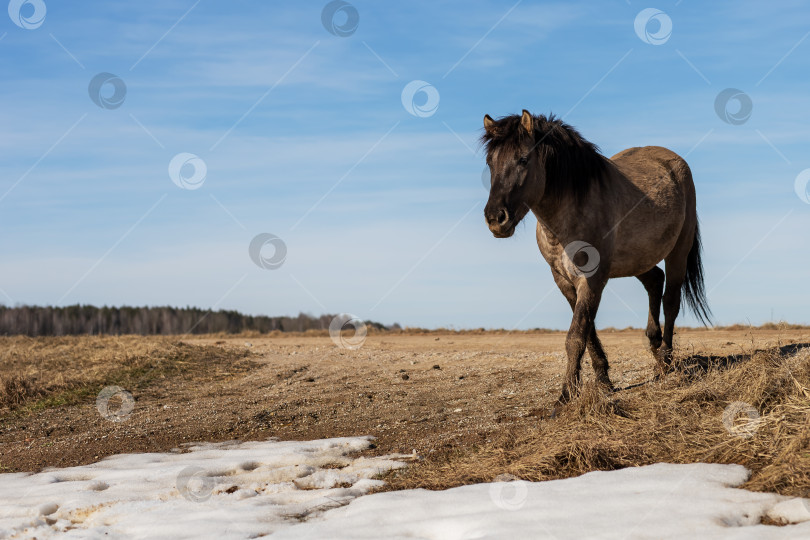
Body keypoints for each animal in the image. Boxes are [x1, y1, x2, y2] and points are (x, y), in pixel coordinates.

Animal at [481, 110, 711, 411]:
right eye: (490, 162)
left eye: (523, 159)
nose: (495, 219)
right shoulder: (563, 279)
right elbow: (586, 330)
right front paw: (603, 379)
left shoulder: (593, 278)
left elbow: (576, 335)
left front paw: (565, 396)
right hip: (636, 260)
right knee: (654, 281)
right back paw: (654, 344)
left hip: (678, 253)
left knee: (670, 300)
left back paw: (664, 363)